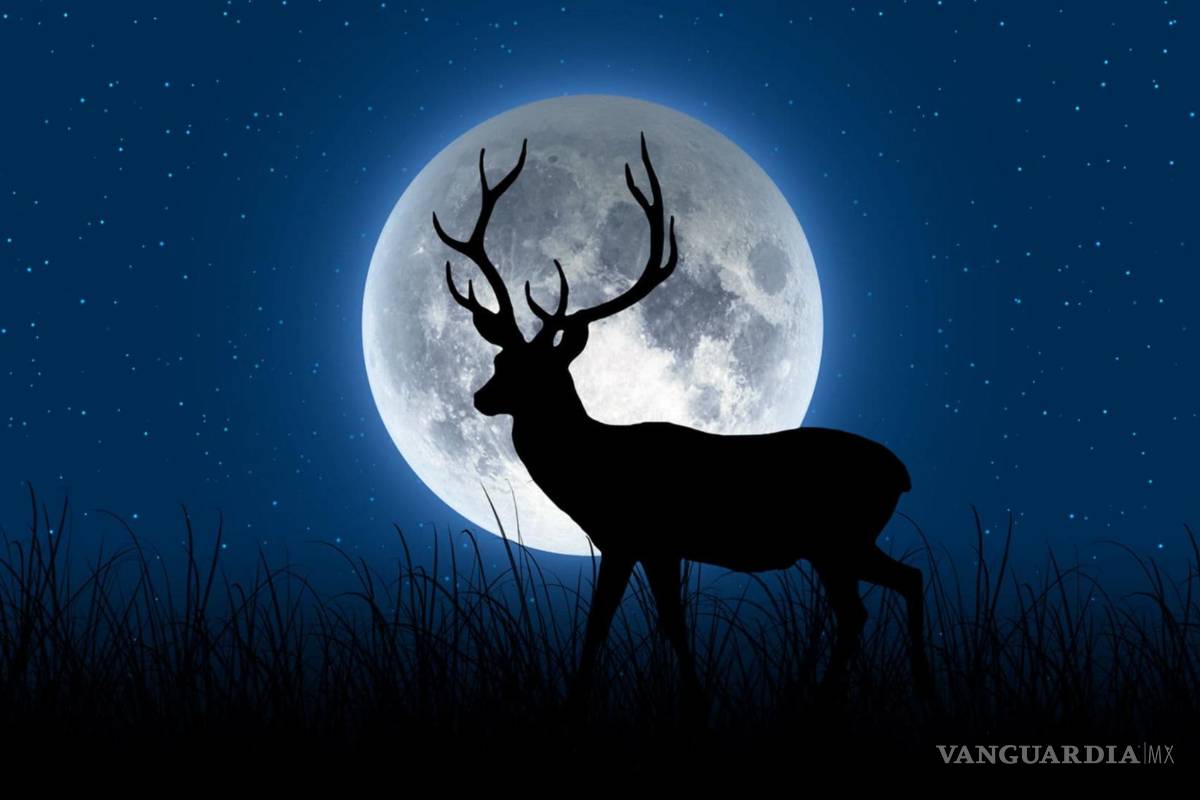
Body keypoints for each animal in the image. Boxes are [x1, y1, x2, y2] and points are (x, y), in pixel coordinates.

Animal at [431, 133, 933, 711]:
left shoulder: (644, 538)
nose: (480, 397)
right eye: (499, 360)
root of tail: (900, 473)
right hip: (844, 543)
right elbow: (622, 625)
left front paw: (686, 701)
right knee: (905, 581)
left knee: (860, 608)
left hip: (836, 538)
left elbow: (644, 624)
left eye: (538, 372)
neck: (593, 469)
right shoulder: (634, 545)